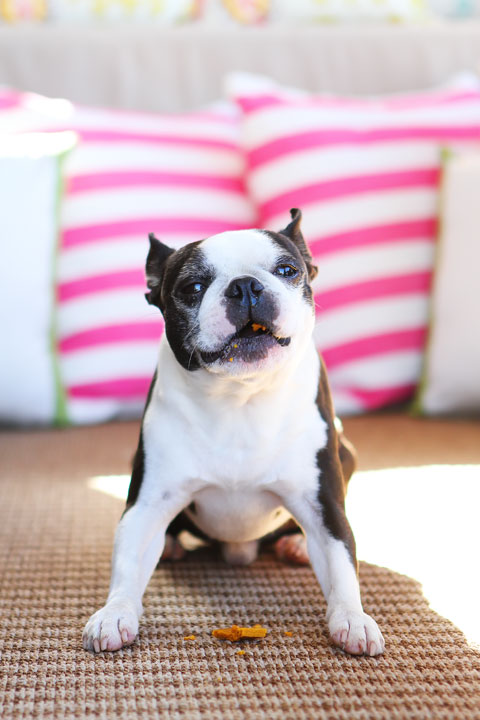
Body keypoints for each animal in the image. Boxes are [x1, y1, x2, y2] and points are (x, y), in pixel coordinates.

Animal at [80, 208, 384, 660]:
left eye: (287, 270)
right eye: (192, 287)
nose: (245, 285)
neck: (241, 397)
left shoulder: (323, 505)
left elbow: (341, 559)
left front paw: (352, 618)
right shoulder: (147, 505)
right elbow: (127, 562)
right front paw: (114, 613)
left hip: (348, 454)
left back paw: (295, 545)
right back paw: (172, 545)